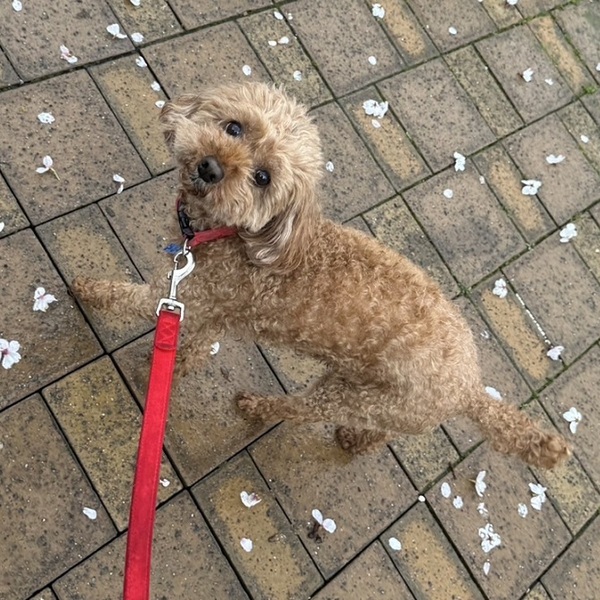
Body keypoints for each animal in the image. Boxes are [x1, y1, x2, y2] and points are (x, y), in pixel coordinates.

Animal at [73, 82, 569, 468]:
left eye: (262, 179)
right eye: (234, 127)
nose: (209, 167)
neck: (237, 235)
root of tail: (468, 388)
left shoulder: (190, 298)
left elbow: (129, 299)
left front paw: (86, 290)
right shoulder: (212, 309)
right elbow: (186, 339)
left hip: (348, 397)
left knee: (299, 410)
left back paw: (258, 407)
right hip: (367, 397)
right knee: (377, 432)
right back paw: (355, 441)